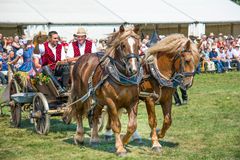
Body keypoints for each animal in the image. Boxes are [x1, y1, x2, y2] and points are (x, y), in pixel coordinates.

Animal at [66, 25, 142, 156]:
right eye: (123, 45)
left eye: (138, 45)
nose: (133, 69)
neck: (122, 78)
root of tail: (81, 58)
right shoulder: (111, 102)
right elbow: (116, 125)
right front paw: (120, 148)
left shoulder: (133, 102)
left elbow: (132, 126)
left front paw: (124, 141)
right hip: (80, 94)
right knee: (79, 112)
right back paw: (79, 137)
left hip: (98, 99)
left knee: (95, 115)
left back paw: (94, 138)